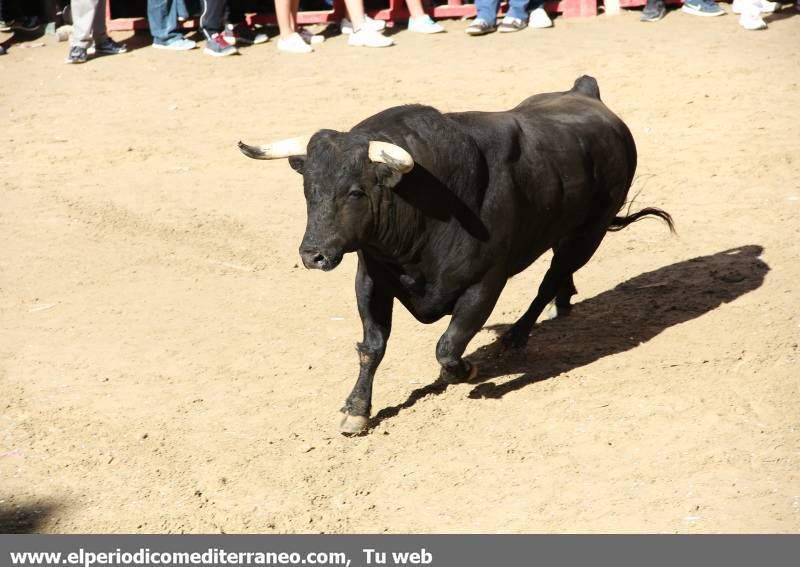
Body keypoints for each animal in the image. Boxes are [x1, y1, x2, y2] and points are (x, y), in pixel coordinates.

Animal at [239, 76, 676, 434]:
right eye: (308, 190)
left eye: (355, 192)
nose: (312, 255)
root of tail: (586, 93)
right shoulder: (372, 278)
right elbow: (372, 346)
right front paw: (357, 410)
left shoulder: (484, 284)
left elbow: (448, 347)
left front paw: (468, 370)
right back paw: (563, 304)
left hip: (590, 232)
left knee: (552, 276)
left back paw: (517, 335)